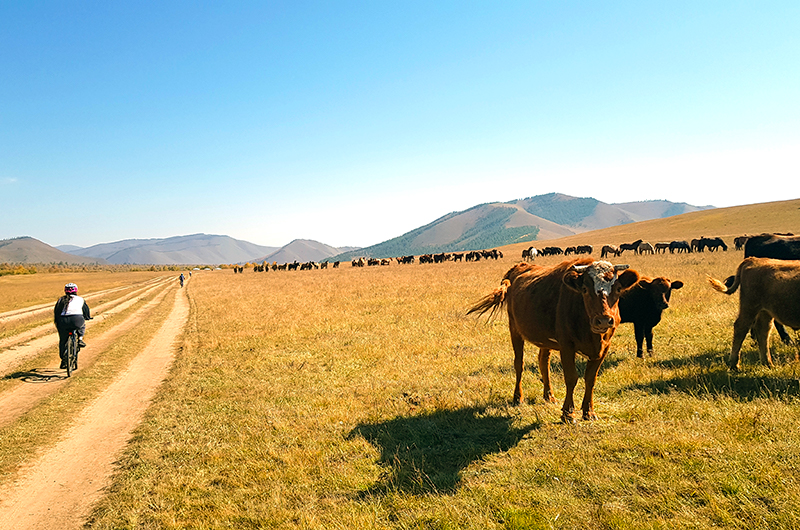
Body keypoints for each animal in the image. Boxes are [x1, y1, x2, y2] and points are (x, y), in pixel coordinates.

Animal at [466, 256, 640, 420]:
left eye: (618, 289)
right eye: (584, 289)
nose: (603, 320)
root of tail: (520, 266)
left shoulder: (604, 347)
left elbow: (591, 379)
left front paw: (589, 412)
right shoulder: (566, 346)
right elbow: (571, 378)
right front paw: (568, 413)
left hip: (544, 340)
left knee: (543, 363)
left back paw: (549, 396)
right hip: (514, 330)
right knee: (519, 364)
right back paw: (518, 397)